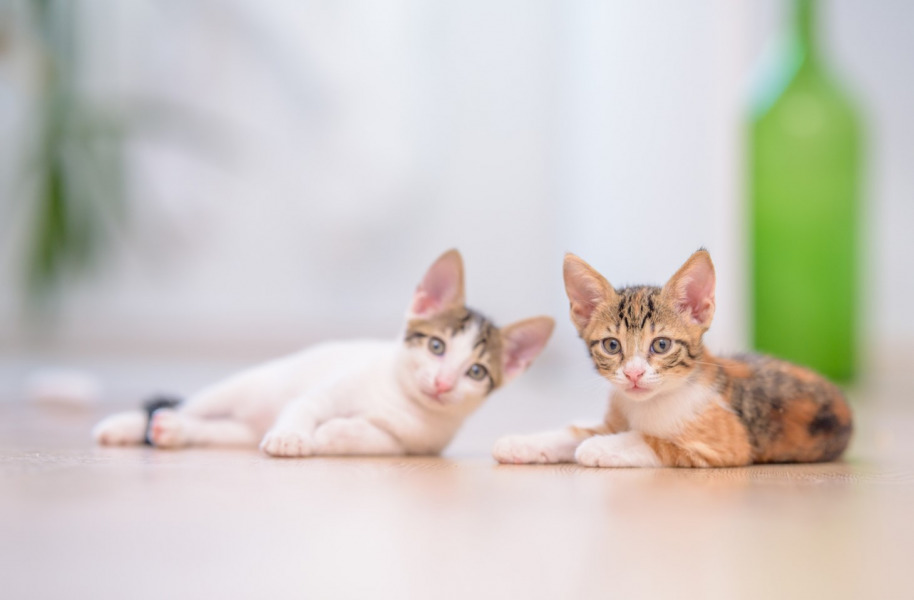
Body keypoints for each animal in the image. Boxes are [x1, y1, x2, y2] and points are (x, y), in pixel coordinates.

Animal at [92, 251, 552, 458]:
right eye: (436, 346)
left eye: (475, 372)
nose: (441, 383)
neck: (400, 400)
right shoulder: (326, 391)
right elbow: (307, 406)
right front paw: (293, 435)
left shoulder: (419, 445)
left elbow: (380, 440)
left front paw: (336, 434)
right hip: (244, 388)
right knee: (190, 404)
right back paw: (126, 425)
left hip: (239, 430)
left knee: (212, 429)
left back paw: (173, 431)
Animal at [496, 250, 852, 468]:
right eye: (611, 346)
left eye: (661, 345)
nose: (633, 374)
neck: (648, 404)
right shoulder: (612, 418)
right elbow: (574, 430)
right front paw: (521, 443)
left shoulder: (727, 445)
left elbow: (653, 441)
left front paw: (600, 447)